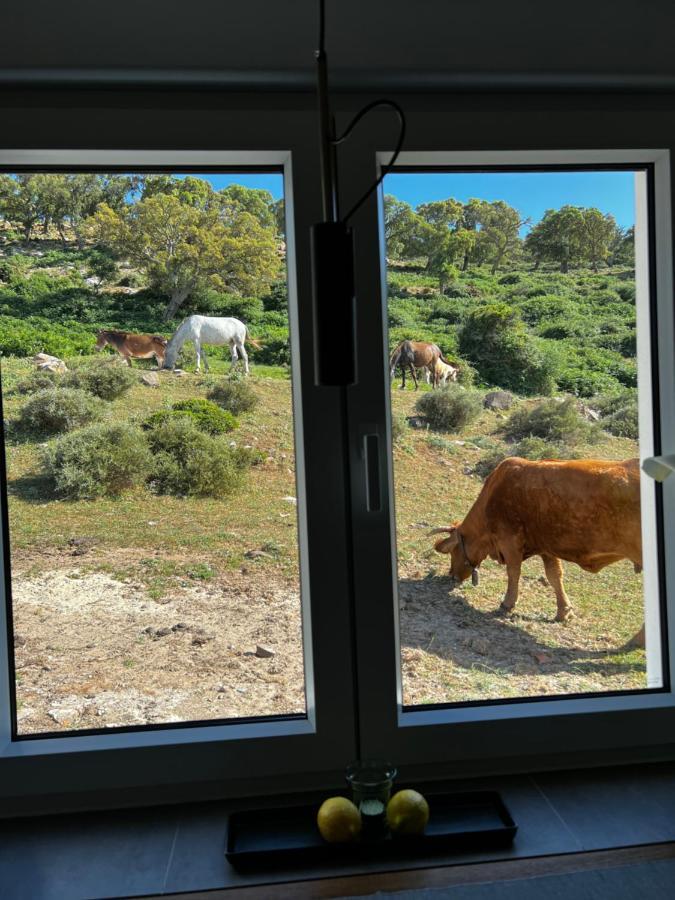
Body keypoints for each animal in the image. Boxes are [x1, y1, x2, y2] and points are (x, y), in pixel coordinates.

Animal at [434, 460, 644, 644]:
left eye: (453, 551)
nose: (452, 575)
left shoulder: (509, 540)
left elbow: (514, 572)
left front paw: (507, 603)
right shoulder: (546, 547)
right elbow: (554, 576)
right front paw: (564, 611)